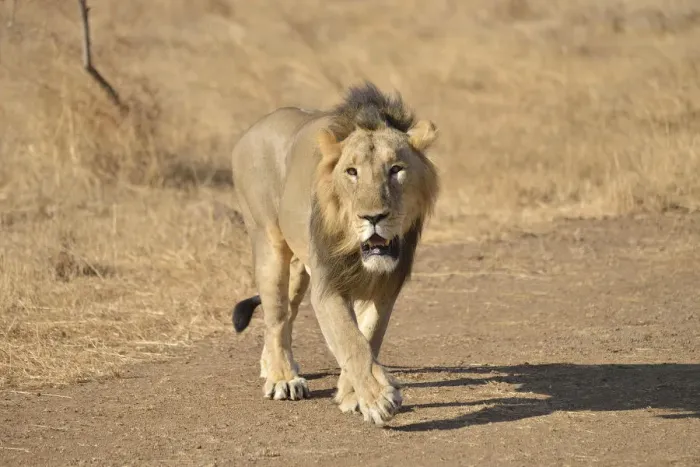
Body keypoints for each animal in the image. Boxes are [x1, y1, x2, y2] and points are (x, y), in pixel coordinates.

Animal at [230, 81, 439, 426]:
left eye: (396, 169)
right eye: (351, 172)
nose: (373, 217)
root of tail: (251, 130)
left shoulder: (386, 286)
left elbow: (368, 336)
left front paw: (352, 395)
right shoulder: (328, 286)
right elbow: (350, 340)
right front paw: (378, 399)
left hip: (300, 269)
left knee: (287, 314)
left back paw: (271, 365)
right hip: (268, 243)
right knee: (276, 316)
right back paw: (282, 377)